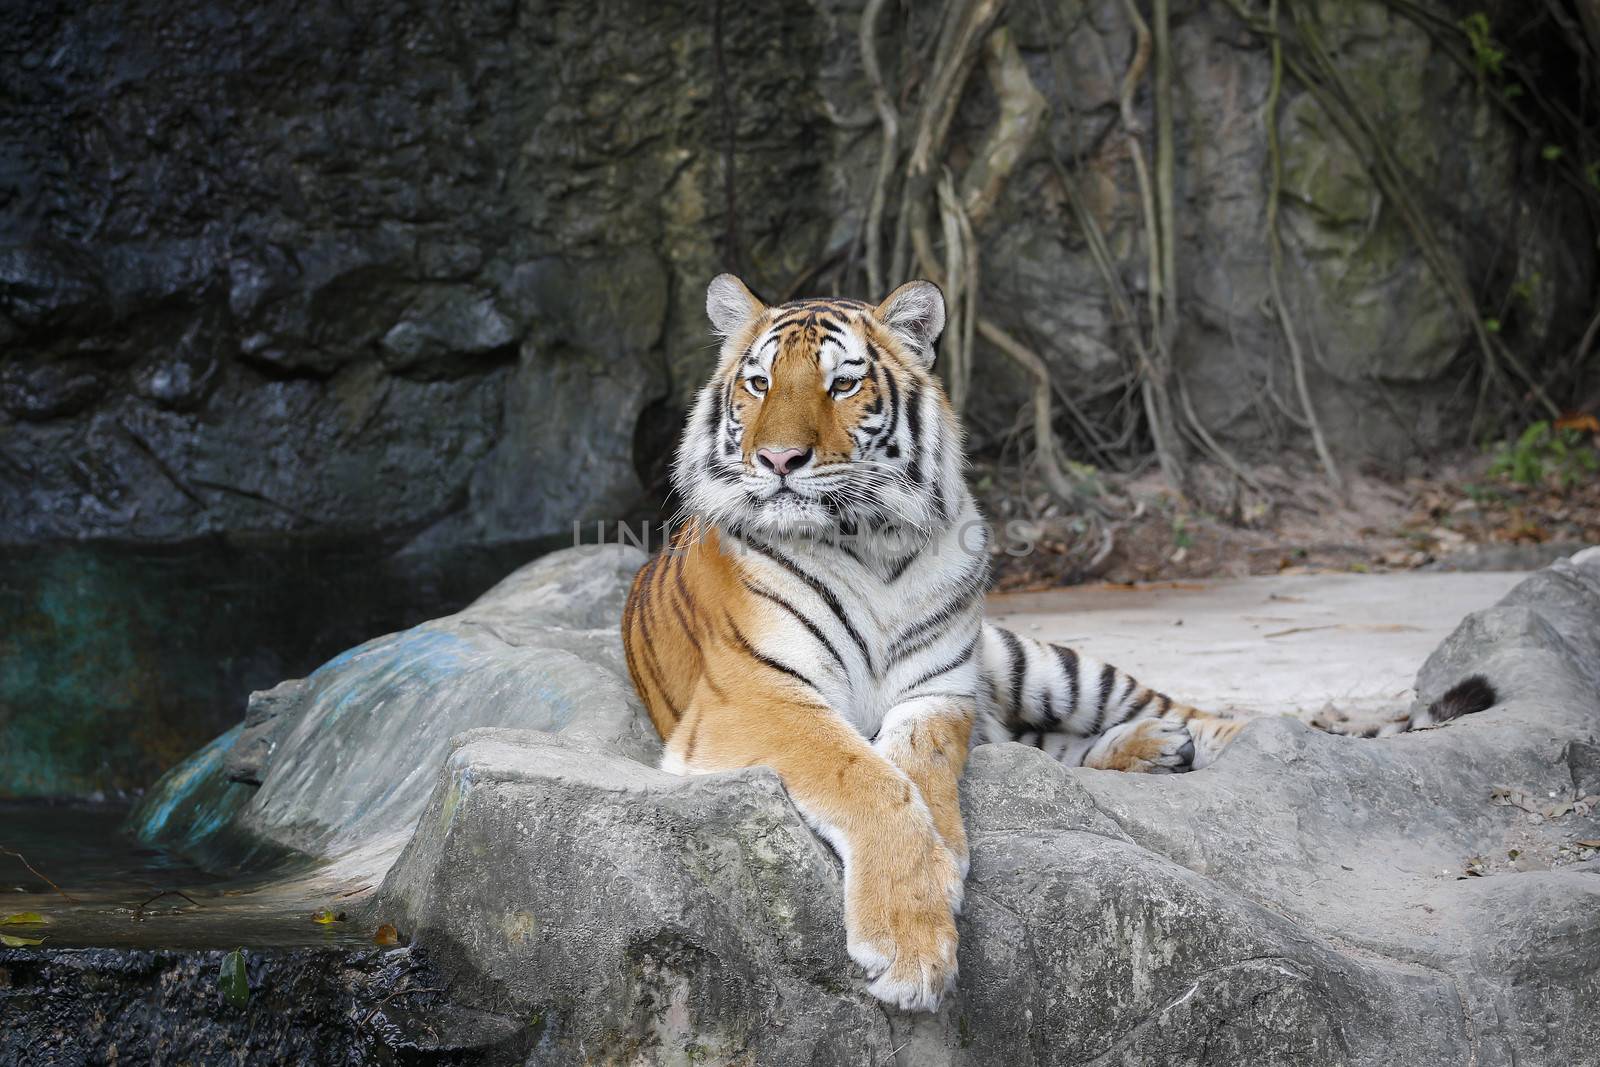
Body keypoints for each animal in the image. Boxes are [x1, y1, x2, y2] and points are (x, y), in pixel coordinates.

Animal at [614, 273, 1497, 1011]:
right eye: (758, 383)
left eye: (842, 382)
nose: (777, 459)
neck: (871, 543)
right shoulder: (755, 696)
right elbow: (865, 775)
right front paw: (914, 940)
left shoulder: (940, 688)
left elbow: (915, 770)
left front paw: (937, 866)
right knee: (1055, 749)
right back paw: (1156, 750)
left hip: (1048, 665)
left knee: (1187, 714)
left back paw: (1231, 741)